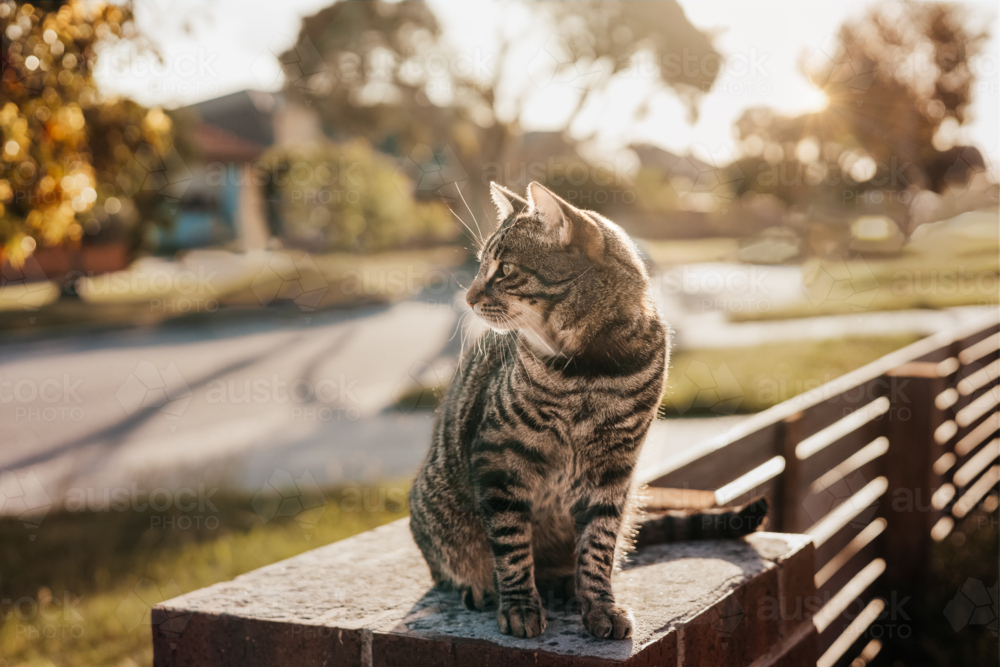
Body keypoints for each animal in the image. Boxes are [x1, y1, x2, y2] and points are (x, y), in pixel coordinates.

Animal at [410, 183, 760, 640]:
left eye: (504, 270)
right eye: (481, 266)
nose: (468, 298)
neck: (590, 369)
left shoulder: (615, 470)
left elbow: (598, 546)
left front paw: (599, 605)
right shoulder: (500, 459)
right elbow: (511, 544)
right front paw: (519, 604)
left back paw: (562, 583)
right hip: (436, 504)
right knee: (449, 567)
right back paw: (479, 586)